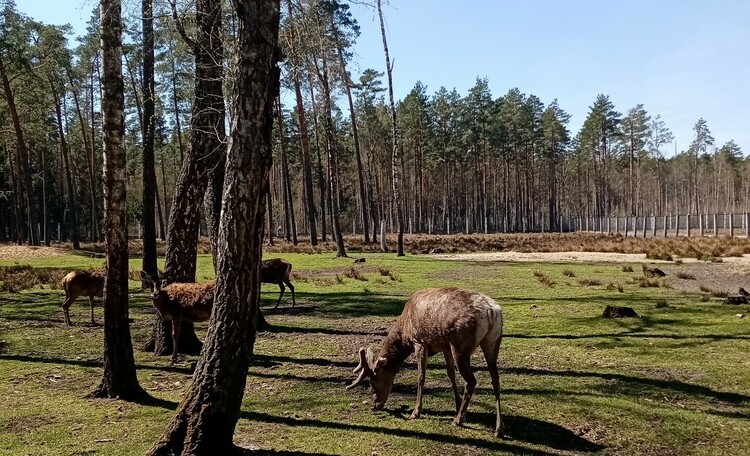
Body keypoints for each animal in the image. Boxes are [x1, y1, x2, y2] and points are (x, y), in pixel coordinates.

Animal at [346, 288, 506, 438]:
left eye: (372, 382)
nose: (375, 405)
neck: (404, 334)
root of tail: (492, 312)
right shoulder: (445, 346)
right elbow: (450, 374)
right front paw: (457, 404)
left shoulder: (420, 342)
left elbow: (421, 376)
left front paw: (416, 411)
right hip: (492, 340)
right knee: (495, 378)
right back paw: (498, 428)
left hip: (460, 344)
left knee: (471, 380)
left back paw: (458, 420)